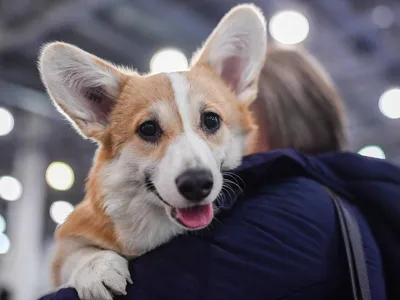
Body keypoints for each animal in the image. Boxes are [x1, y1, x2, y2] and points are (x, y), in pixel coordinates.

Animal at [39, 2, 268, 300]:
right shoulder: (68, 238)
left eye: (211, 120)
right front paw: (96, 269)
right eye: (148, 129)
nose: (196, 184)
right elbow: (75, 253)